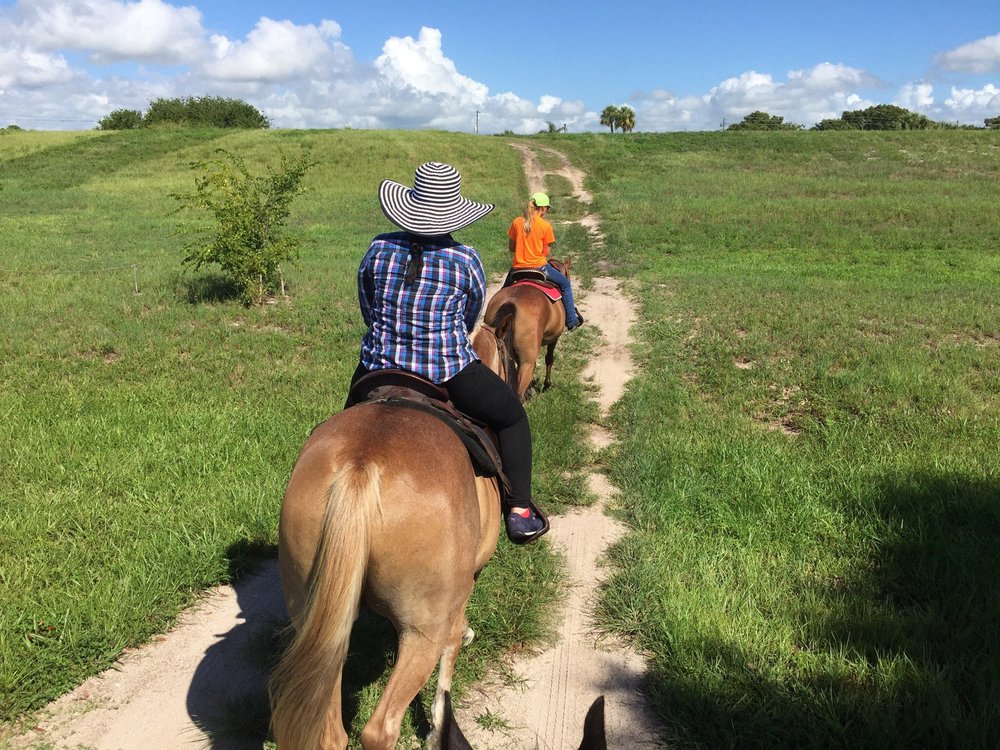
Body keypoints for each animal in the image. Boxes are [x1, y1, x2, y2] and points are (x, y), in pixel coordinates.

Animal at [270, 324, 516, 750]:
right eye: (507, 352)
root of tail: (361, 465)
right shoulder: (463, 586)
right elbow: (452, 646)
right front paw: (439, 724)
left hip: (316, 625)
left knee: (330, 733)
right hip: (420, 632)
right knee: (380, 729)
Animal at [482, 258, 572, 402]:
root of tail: (511, 303)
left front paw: (530, 392)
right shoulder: (554, 338)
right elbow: (549, 359)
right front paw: (546, 385)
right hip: (526, 363)